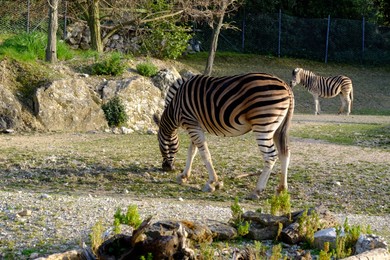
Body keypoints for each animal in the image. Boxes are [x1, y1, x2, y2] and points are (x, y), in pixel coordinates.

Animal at [154, 72, 294, 198]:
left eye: (159, 143)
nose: (166, 167)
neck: (175, 108)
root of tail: (286, 86)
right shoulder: (195, 126)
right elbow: (192, 151)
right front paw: (184, 176)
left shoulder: (191, 124)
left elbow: (204, 153)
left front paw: (212, 183)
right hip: (279, 128)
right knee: (285, 153)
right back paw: (282, 189)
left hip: (263, 124)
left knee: (270, 156)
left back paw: (256, 191)